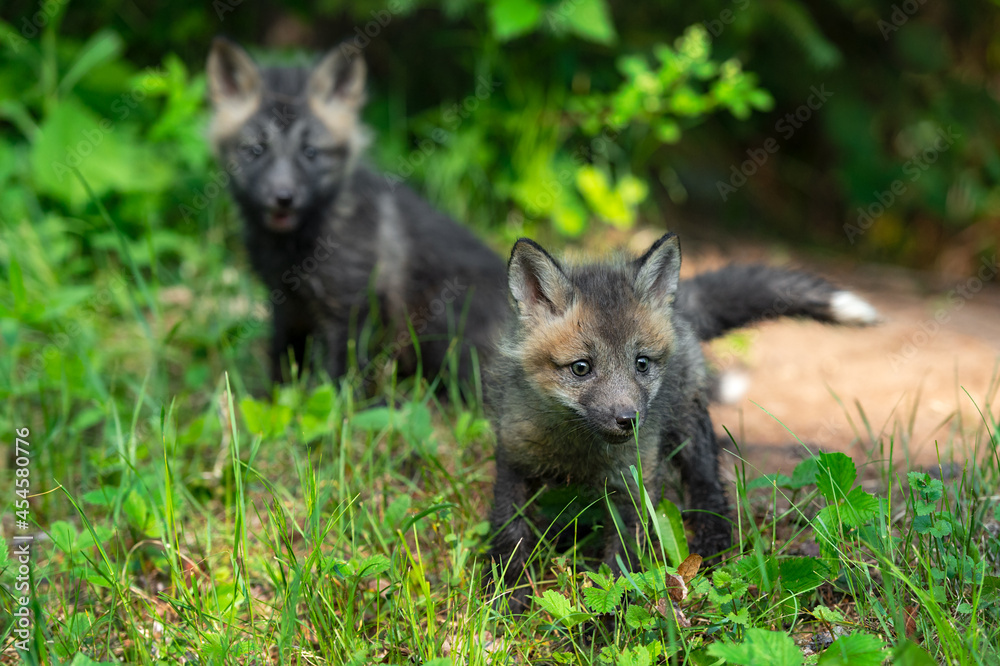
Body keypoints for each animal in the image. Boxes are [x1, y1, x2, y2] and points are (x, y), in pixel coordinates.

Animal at [486, 233, 878, 611]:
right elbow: (508, 534)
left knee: (708, 486)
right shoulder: (513, 458)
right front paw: (506, 595)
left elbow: (622, 566)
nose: (628, 420)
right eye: (581, 367)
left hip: (690, 427)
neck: (577, 450)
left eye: (641, 363)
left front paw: (608, 622)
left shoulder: (635, 482)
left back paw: (713, 543)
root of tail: (679, 308)